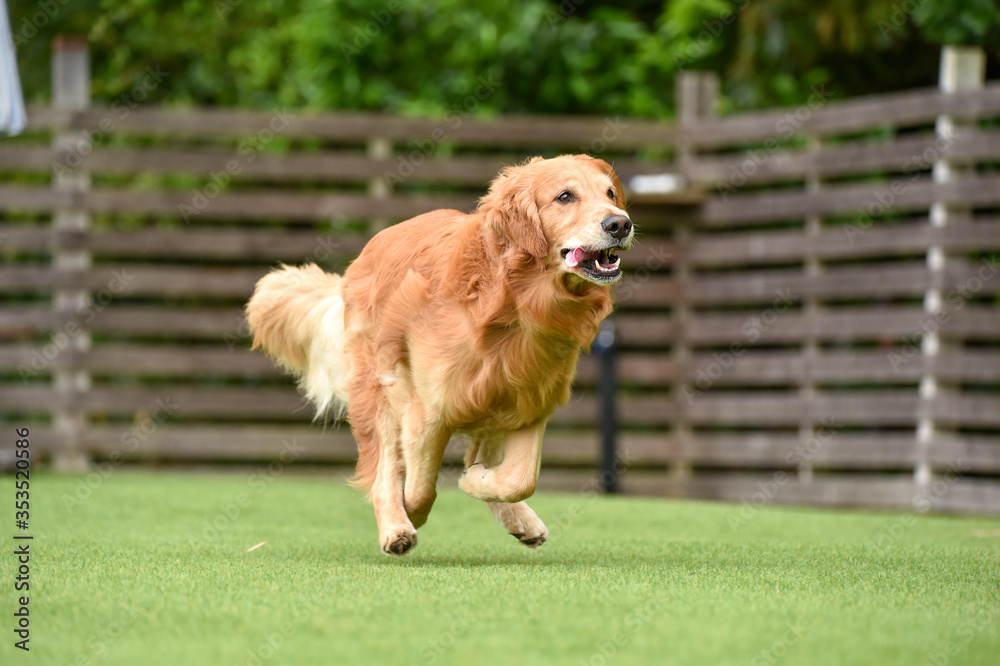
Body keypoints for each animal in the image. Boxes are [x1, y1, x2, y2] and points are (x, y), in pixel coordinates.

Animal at [246, 154, 634, 555]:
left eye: (610, 193)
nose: (620, 223)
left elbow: (518, 479)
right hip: (381, 386)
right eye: (565, 196)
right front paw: (409, 513)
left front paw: (476, 481)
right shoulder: (427, 410)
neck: (515, 298)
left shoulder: (530, 404)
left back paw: (514, 513)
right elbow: (419, 490)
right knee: (386, 465)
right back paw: (396, 526)